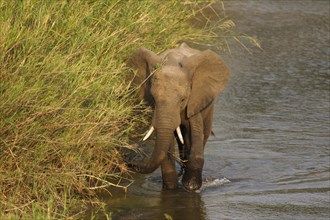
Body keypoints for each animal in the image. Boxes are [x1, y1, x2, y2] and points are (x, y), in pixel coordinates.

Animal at [127, 43, 229, 191]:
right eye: (154, 98)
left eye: (182, 99)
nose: (130, 163)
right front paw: (171, 188)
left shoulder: (194, 99)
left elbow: (195, 132)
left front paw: (191, 186)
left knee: (202, 134)